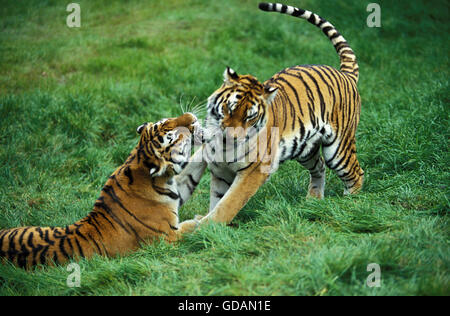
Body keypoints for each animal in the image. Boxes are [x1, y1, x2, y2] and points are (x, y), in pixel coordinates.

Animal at [0, 112, 207, 268]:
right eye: (173, 137)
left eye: (165, 121)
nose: (191, 117)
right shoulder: (169, 239)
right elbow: (191, 228)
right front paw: (200, 220)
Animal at [186, 2, 366, 225]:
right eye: (230, 108)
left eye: (250, 116)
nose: (231, 137)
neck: (223, 146)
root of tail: (345, 74)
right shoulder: (220, 169)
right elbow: (217, 200)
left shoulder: (253, 171)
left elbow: (227, 205)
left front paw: (203, 227)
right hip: (305, 149)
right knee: (320, 167)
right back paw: (313, 201)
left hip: (338, 149)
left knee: (356, 173)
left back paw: (350, 205)